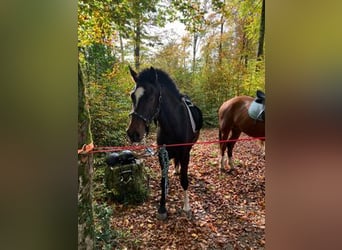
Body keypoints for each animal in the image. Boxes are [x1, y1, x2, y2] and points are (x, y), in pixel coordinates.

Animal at [126, 66, 202, 219]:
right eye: (132, 96)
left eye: (150, 97)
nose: (133, 133)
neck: (174, 124)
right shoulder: (162, 154)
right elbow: (162, 180)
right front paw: (162, 207)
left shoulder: (185, 154)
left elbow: (184, 180)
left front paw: (186, 207)